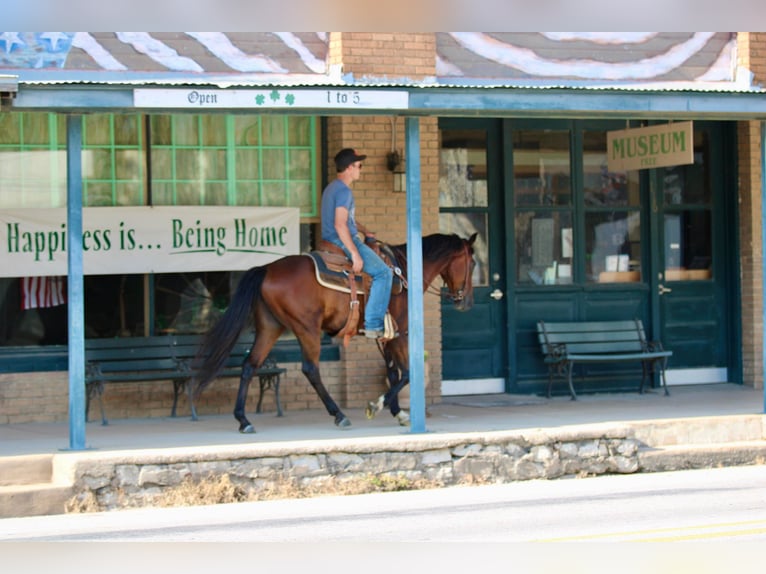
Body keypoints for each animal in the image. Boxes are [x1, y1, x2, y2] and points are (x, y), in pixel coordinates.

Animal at [192, 232, 476, 434]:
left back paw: (243, 419)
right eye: (473, 263)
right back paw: (339, 414)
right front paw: (376, 405)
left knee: (250, 365)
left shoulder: (387, 337)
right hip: (307, 328)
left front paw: (398, 412)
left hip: (270, 327)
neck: (406, 273)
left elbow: (393, 373)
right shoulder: (401, 332)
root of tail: (267, 269)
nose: (466, 302)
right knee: (310, 369)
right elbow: (406, 373)